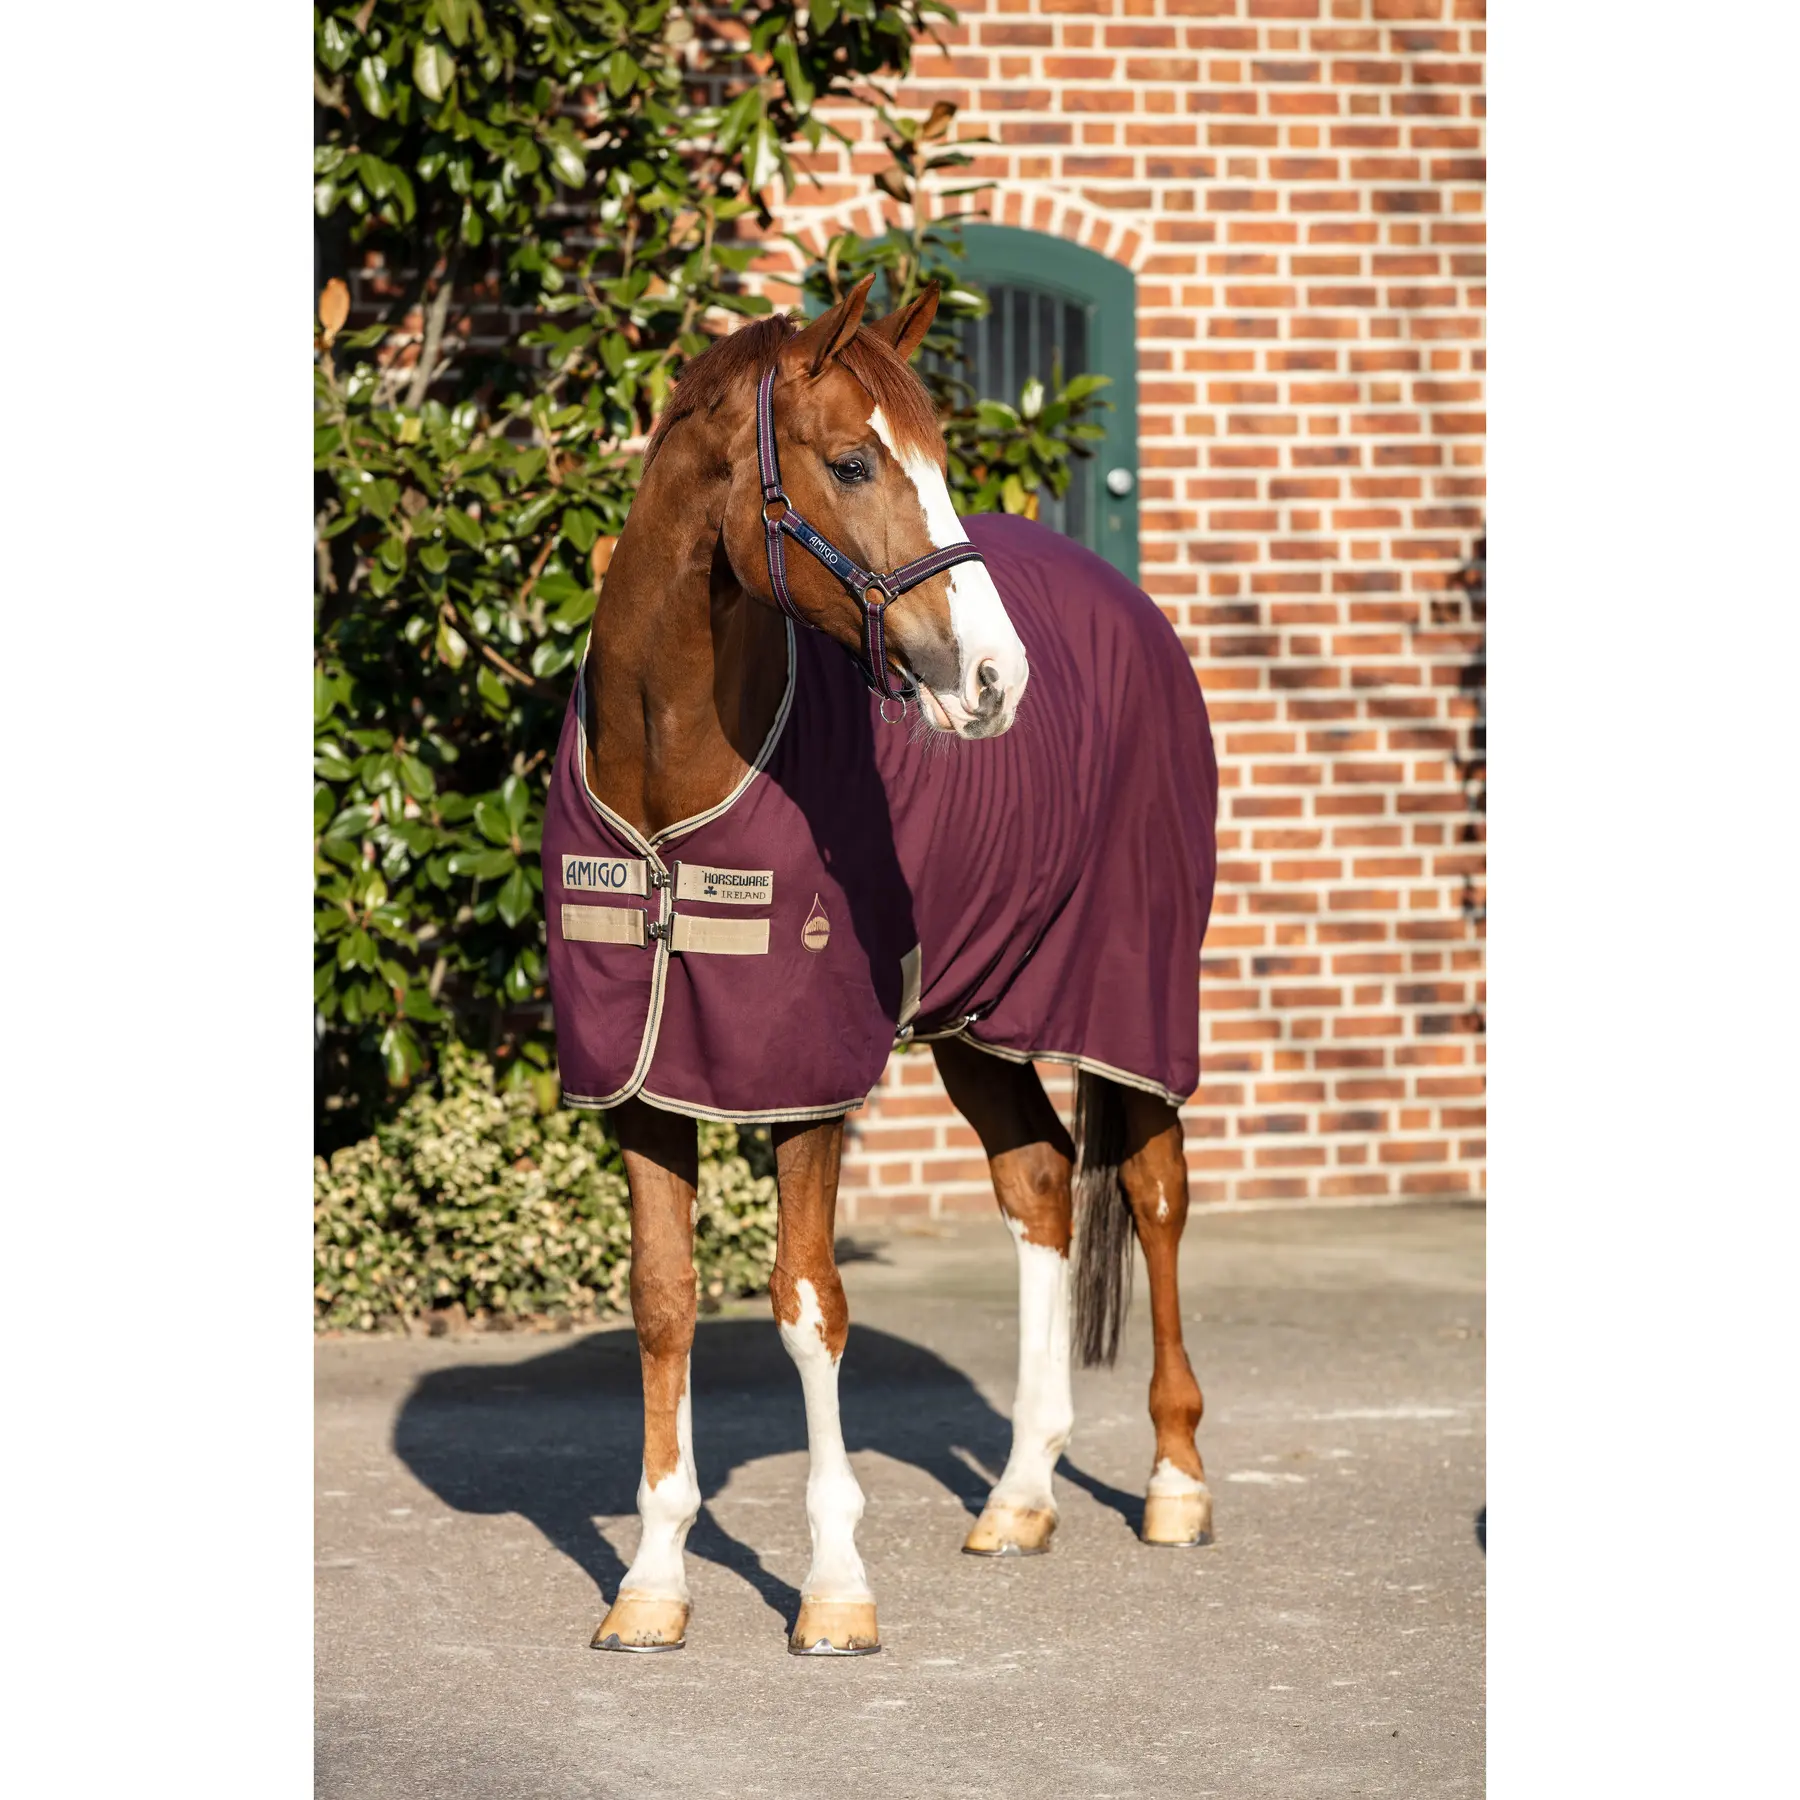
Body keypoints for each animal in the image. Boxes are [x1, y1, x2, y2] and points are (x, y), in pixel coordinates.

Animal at [542, 272, 1219, 1656]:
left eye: (944, 460)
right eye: (853, 461)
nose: (996, 678)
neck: (669, 771)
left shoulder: (805, 1084)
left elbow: (810, 1308)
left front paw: (835, 1586)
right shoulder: (642, 1083)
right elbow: (663, 1301)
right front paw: (652, 1582)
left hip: (1133, 996)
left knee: (1157, 1192)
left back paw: (1175, 1484)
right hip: (978, 1019)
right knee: (1041, 1187)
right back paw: (1019, 1498)